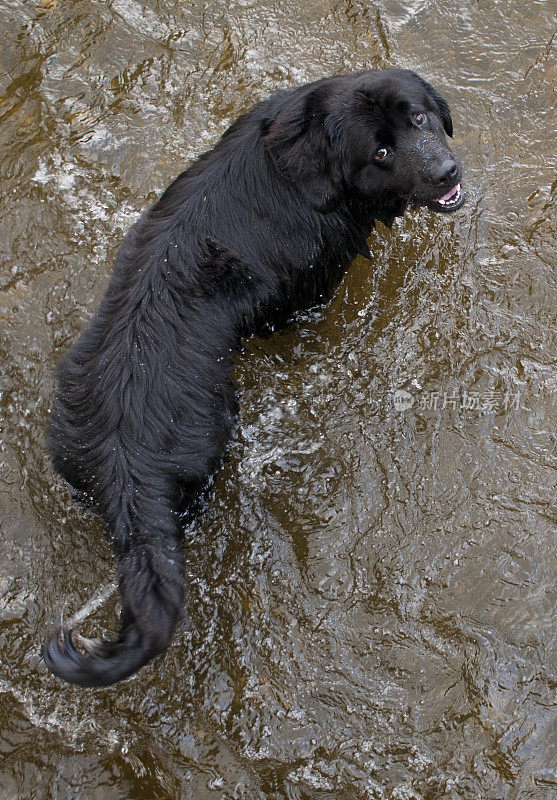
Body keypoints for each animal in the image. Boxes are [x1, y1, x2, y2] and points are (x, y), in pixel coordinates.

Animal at [43, 69, 462, 688]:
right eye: (381, 153)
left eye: (419, 118)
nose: (445, 172)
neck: (302, 161)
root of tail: (123, 458)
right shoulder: (309, 291)